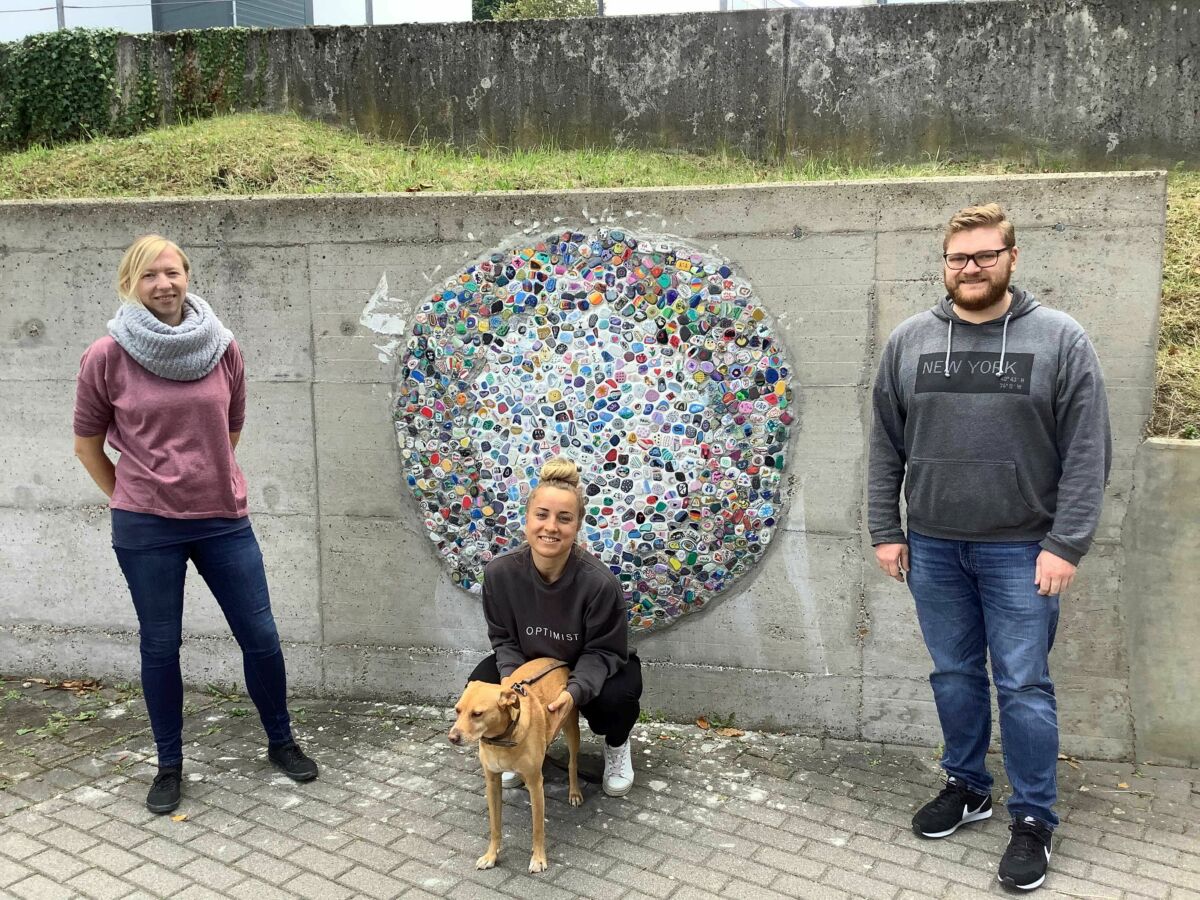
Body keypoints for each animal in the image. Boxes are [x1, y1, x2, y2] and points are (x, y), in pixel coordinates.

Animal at [448, 657, 583, 878]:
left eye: (477, 714)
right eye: (457, 710)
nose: (452, 737)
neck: (500, 740)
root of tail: (555, 661)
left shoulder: (536, 786)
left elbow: (538, 828)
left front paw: (538, 859)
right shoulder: (492, 782)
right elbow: (495, 826)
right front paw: (491, 856)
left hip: (571, 727)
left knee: (572, 763)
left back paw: (574, 792)